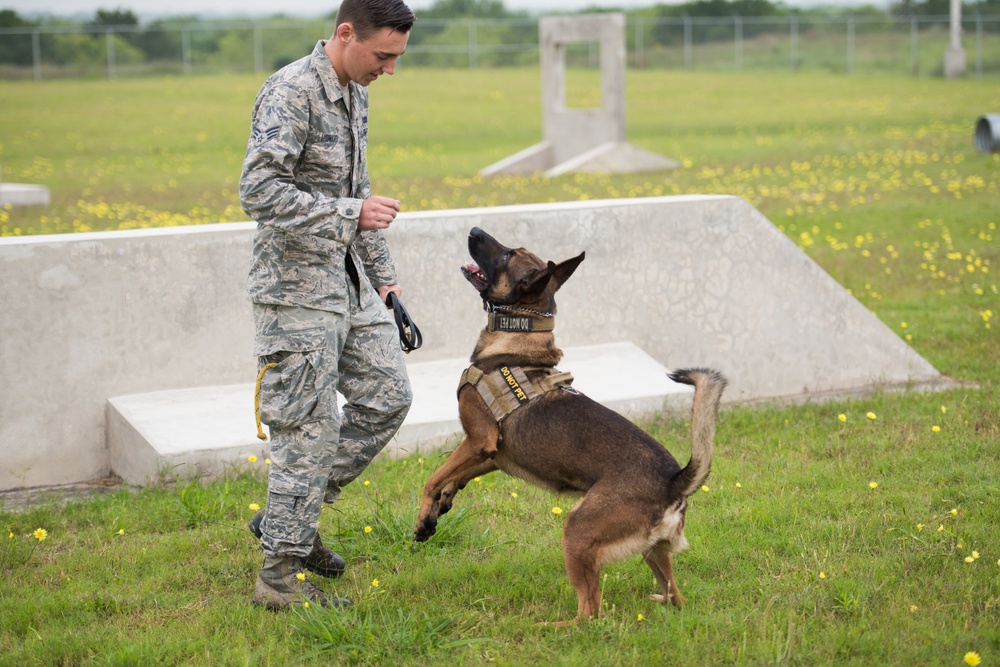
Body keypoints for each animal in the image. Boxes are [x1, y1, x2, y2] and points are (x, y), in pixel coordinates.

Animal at [414, 228, 728, 628]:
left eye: (507, 255)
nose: (474, 231)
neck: (517, 338)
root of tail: (674, 482)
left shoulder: (479, 440)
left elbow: (433, 478)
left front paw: (425, 513)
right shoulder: (493, 453)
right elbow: (453, 475)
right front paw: (441, 506)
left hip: (576, 532)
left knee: (590, 612)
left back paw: (554, 627)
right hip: (653, 552)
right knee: (676, 596)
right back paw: (661, 601)